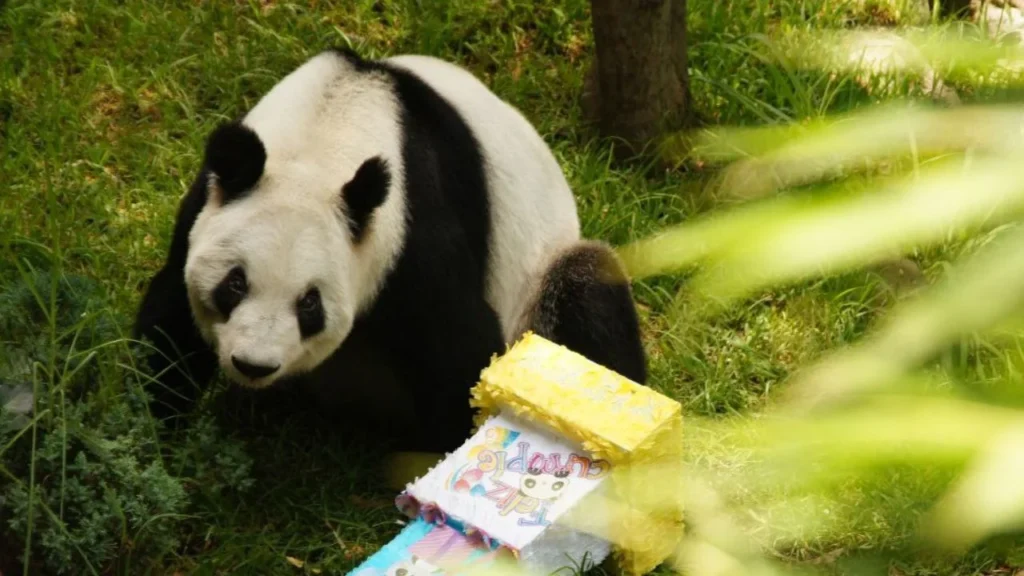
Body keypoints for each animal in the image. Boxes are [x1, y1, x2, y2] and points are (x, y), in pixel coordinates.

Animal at [133, 48, 647, 453]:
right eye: (235, 284)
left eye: (309, 304)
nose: (254, 365)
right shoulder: (204, 203)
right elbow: (172, 314)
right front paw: (153, 439)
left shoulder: (413, 223)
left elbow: (459, 346)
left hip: (541, 283)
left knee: (585, 297)